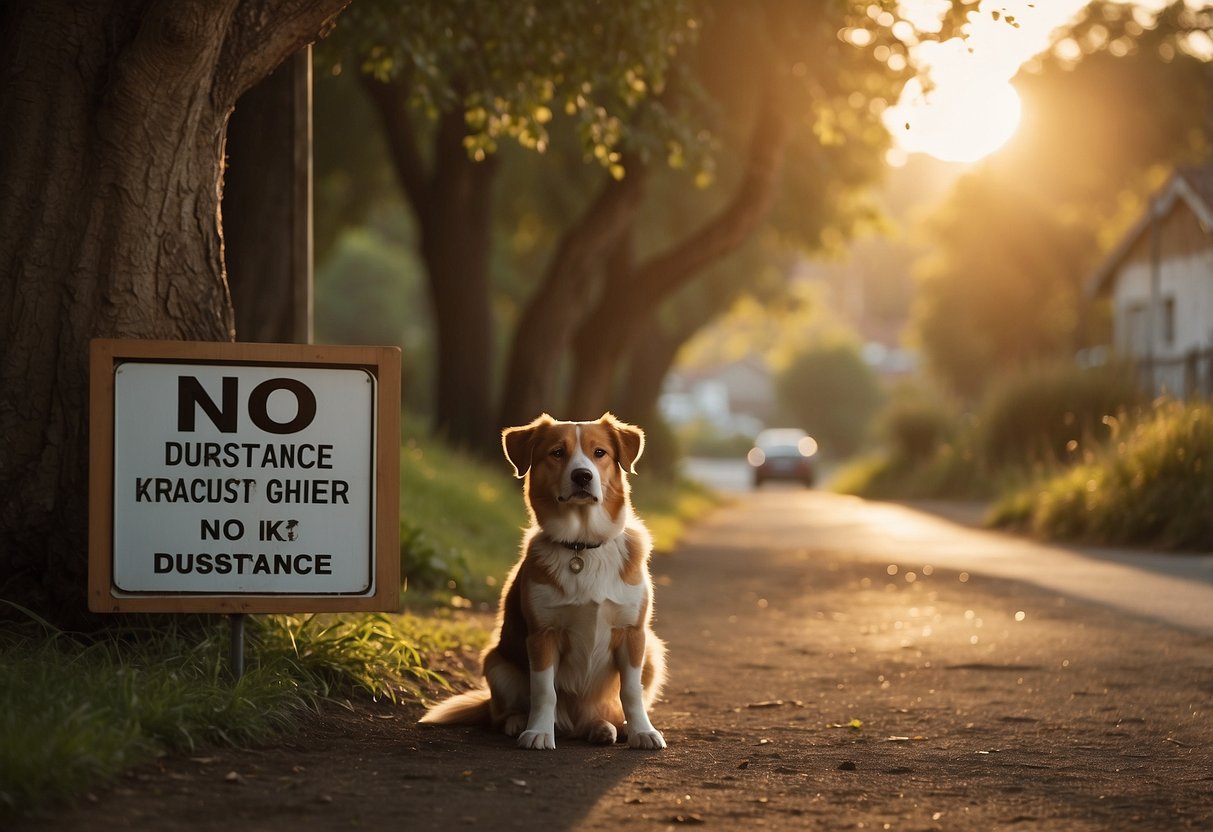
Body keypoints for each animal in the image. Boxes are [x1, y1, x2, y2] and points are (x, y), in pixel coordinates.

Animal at [414, 414, 664, 751]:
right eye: (557, 452)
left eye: (599, 452)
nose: (583, 476)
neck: (582, 547)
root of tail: (575, 722)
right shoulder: (542, 636)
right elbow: (545, 691)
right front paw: (539, 732)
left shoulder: (633, 634)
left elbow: (631, 692)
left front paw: (642, 731)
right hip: (497, 663)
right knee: (501, 713)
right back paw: (519, 722)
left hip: (653, 653)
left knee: (603, 711)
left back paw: (604, 727)